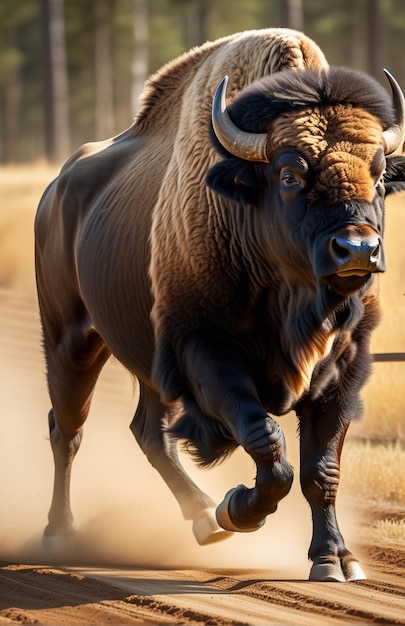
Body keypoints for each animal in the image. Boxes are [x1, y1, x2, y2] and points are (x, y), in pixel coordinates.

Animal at [34, 26, 404, 576]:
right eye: (289, 175)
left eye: (379, 175)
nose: (357, 249)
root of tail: (55, 191)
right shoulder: (207, 353)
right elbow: (267, 444)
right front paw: (239, 510)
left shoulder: (344, 369)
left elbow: (321, 469)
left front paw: (335, 559)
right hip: (70, 342)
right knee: (67, 429)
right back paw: (60, 534)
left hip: (147, 365)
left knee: (149, 432)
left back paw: (204, 520)